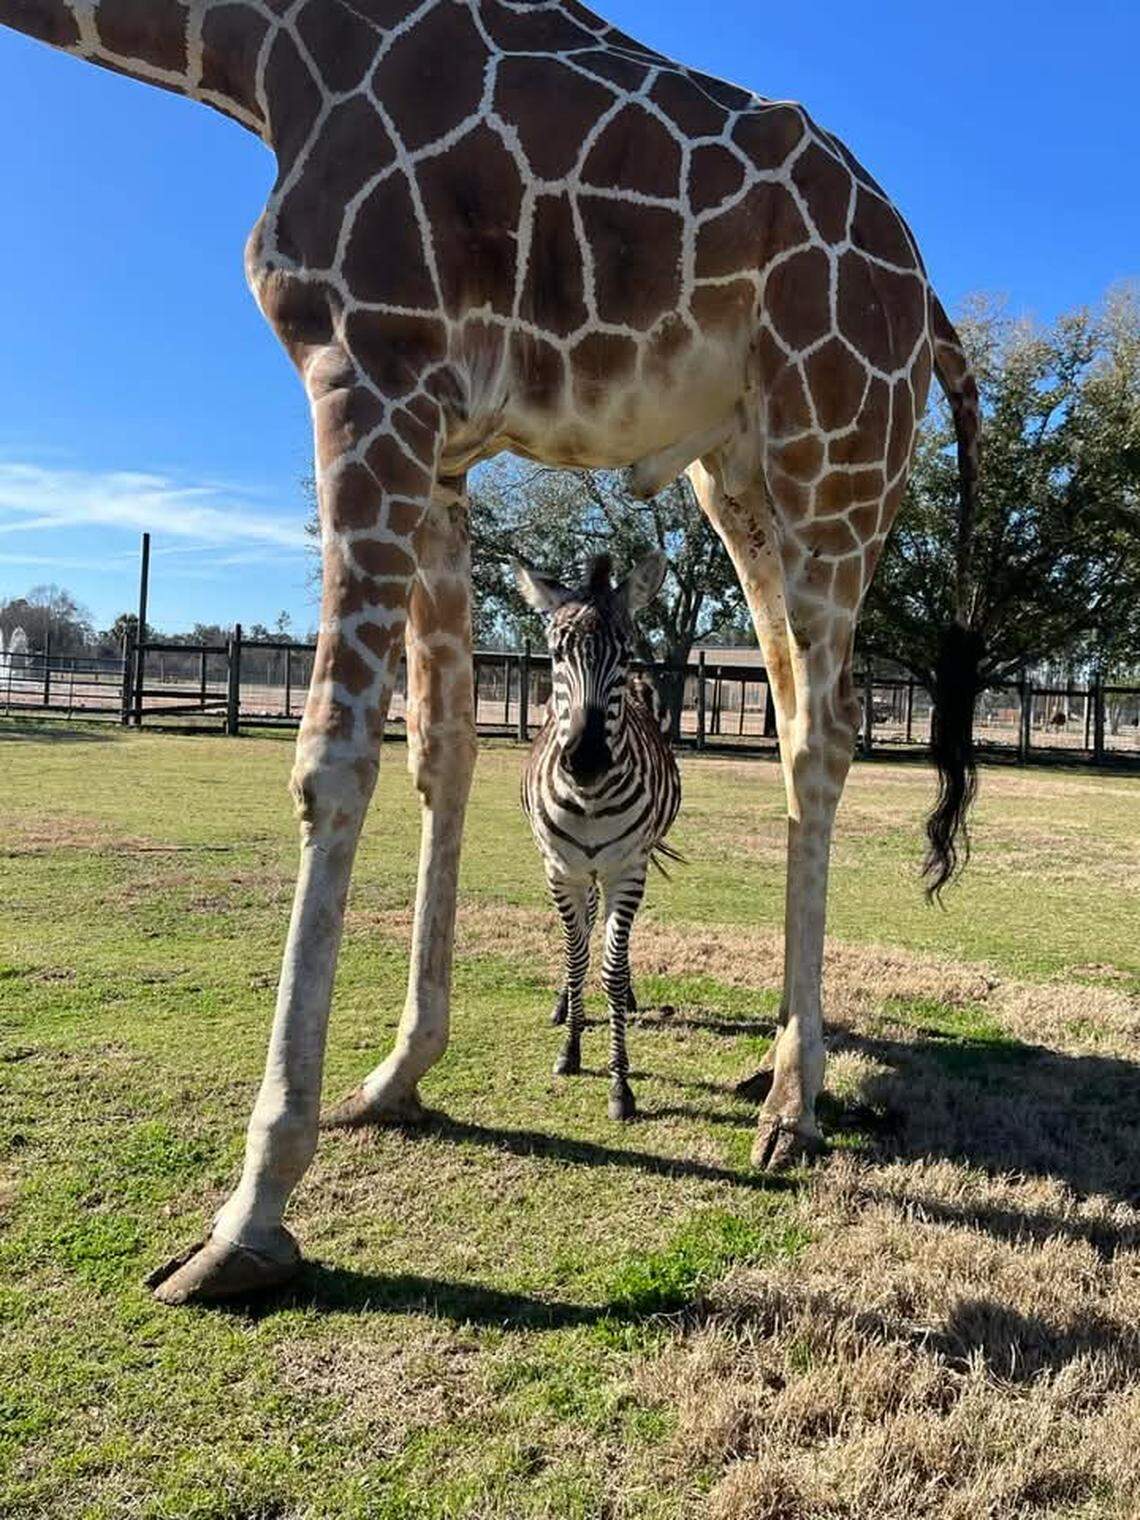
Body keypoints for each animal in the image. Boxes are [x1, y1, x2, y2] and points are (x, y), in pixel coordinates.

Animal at [516, 551, 681, 1121]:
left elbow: (610, 967)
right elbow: (576, 957)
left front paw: (620, 1084)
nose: (586, 760)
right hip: (579, 868)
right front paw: (570, 1048)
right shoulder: (559, 869)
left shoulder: (627, 869)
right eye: (554, 654)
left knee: (608, 939)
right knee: (585, 927)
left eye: (626, 653)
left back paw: (623, 998)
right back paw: (565, 1005)